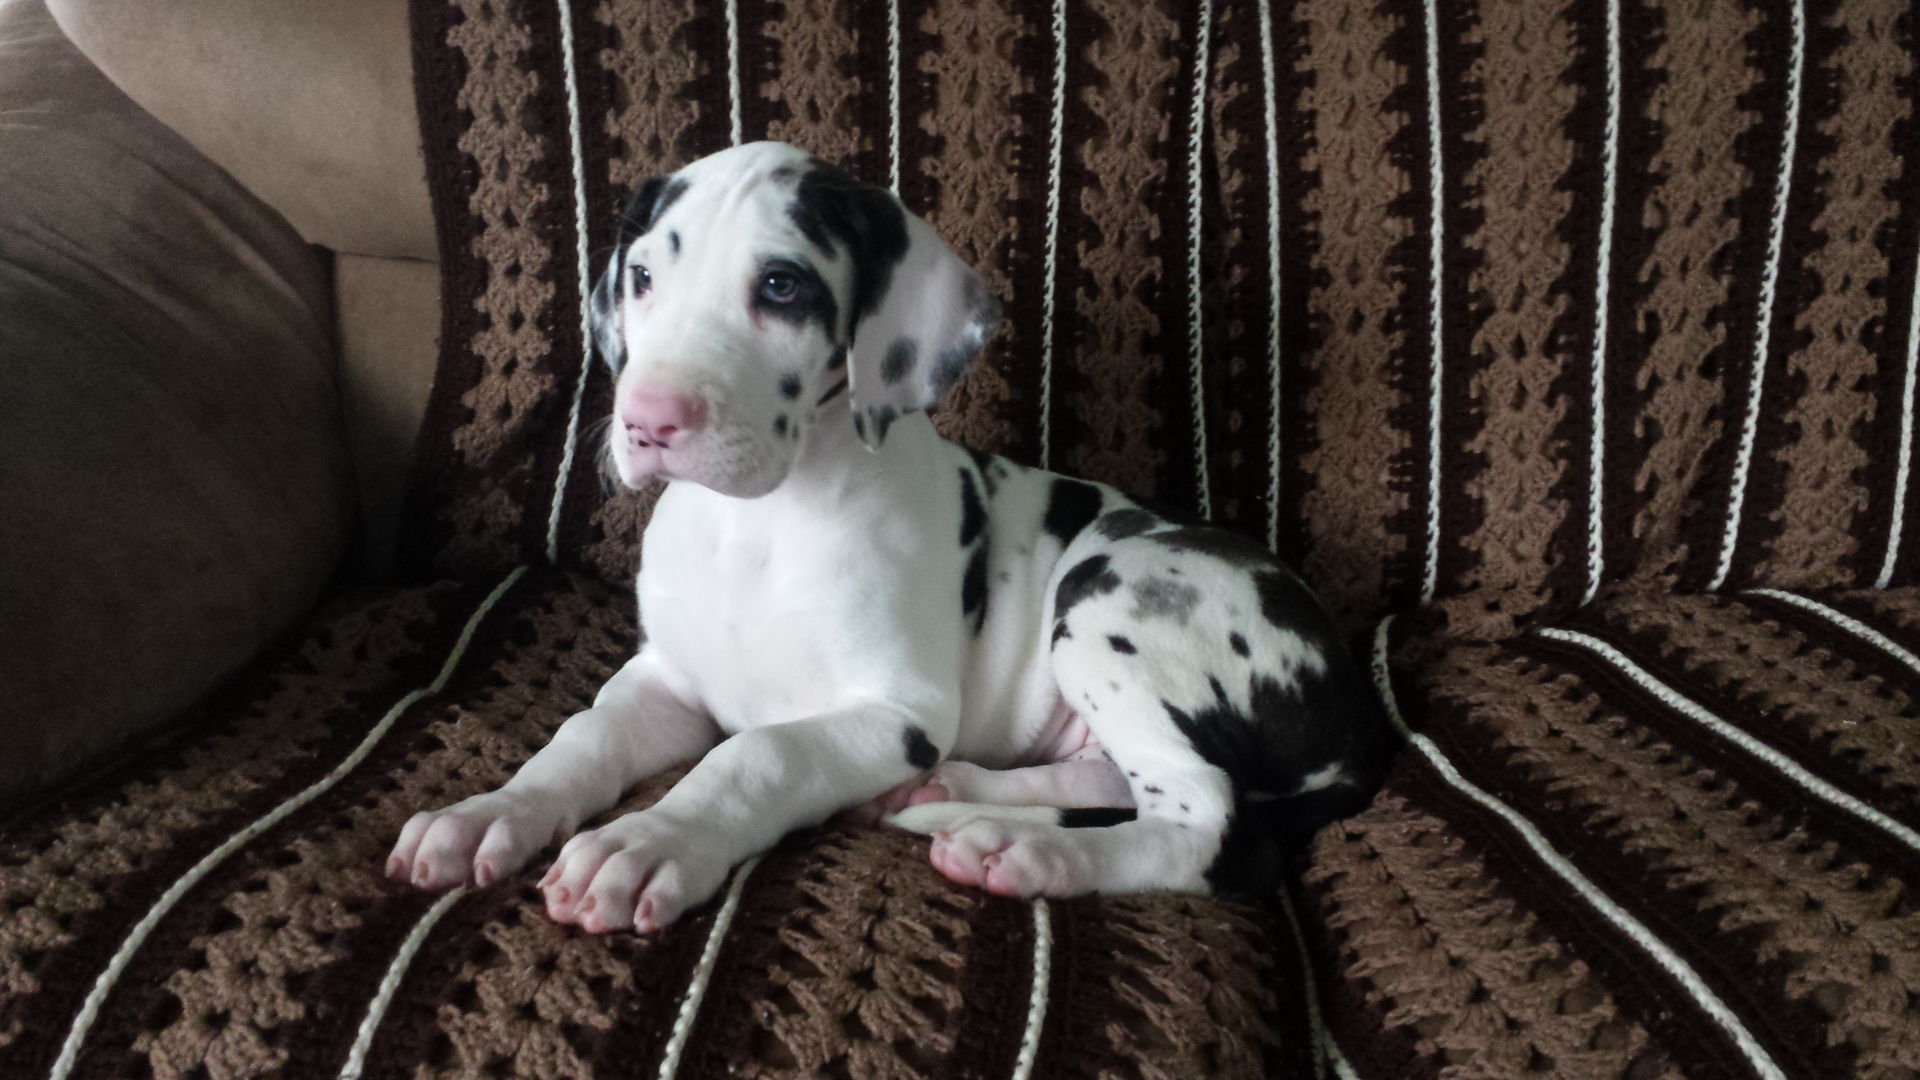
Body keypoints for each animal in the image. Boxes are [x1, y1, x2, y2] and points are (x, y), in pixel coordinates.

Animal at [382, 141, 1390, 933]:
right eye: (641, 279)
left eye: (781, 286)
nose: (648, 419)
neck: (757, 527)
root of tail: (1358, 720)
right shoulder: (666, 682)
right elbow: (581, 738)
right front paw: (494, 810)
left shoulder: (895, 715)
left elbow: (755, 752)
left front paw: (649, 838)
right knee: (1116, 783)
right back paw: (965, 807)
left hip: (1113, 585)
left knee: (1206, 828)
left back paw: (1028, 853)